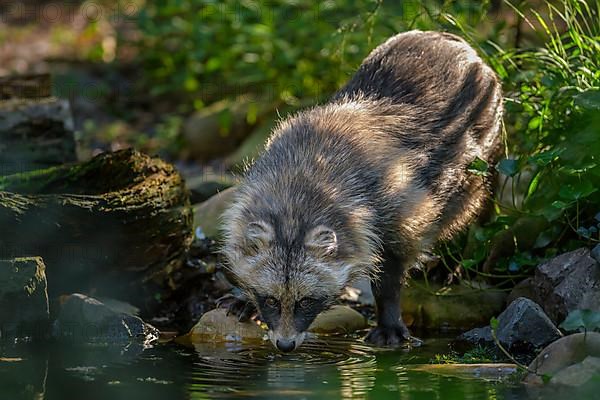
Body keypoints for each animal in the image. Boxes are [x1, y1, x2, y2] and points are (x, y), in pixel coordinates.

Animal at [220, 29, 502, 352]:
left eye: (305, 301)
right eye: (271, 300)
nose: (286, 345)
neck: (298, 190)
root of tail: (447, 36)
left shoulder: (396, 203)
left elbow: (391, 265)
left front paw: (389, 316)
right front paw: (245, 297)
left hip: (485, 135)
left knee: (476, 202)